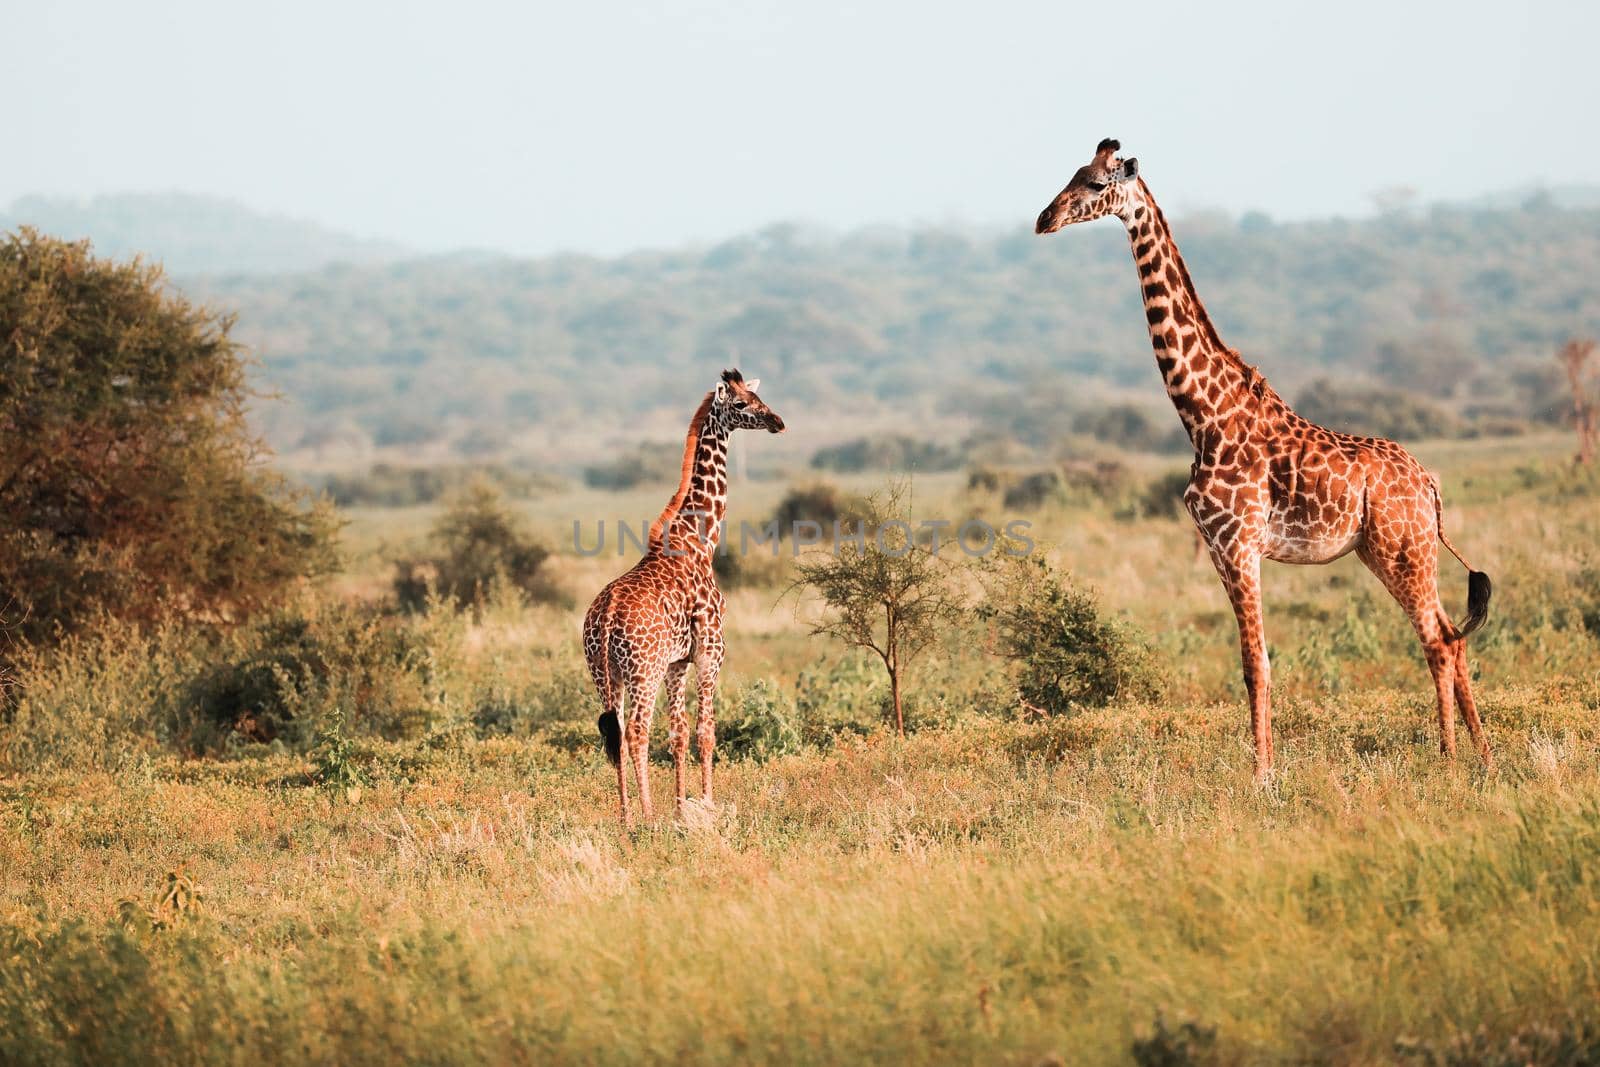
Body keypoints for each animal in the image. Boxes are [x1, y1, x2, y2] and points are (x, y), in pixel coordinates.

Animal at [585, 367, 790, 825]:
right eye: (741, 404)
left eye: (758, 396)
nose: (778, 422)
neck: (700, 539)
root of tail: (605, 617)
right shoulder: (711, 651)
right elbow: (706, 731)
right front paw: (707, 805)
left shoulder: (678, 662)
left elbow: (678, 733)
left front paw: (681, 807)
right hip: (642, 671)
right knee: (636, 732)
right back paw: (646, 817)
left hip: (605, 674)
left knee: (614, 731)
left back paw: (625, 817)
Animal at [1030, 137, 1491, 780]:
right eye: (1072, 173)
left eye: (1097, 184)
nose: (1044, 219)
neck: (1203, 415)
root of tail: (1429, 482)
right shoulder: (1218, 548)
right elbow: (1252, 663)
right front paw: (1263, 769)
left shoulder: (1239, 542)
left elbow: (1257, 665)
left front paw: (1262, 777)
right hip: (1385, 551)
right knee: (1452, 633)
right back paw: (1482, 756)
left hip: (1403, 549)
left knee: (1438, 638)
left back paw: (1448, 759)